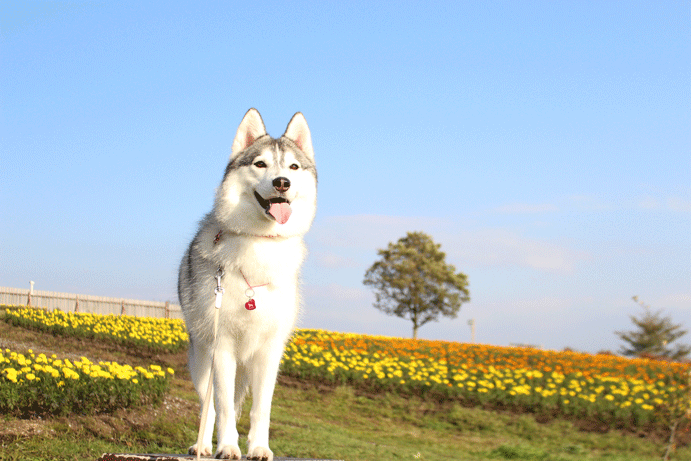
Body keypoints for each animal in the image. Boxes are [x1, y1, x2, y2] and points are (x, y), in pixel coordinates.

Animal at [178, 109, 318, 458]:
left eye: (293, 167)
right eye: (260, 164)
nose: (282, 183)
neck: (261, 242)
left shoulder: (270, 350)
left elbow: (261, 409)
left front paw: (259, 447)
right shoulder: (223, 346)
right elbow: (223, 406)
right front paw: (228, 446)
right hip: (203, 361)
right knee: (208, 407)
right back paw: (203, 445)